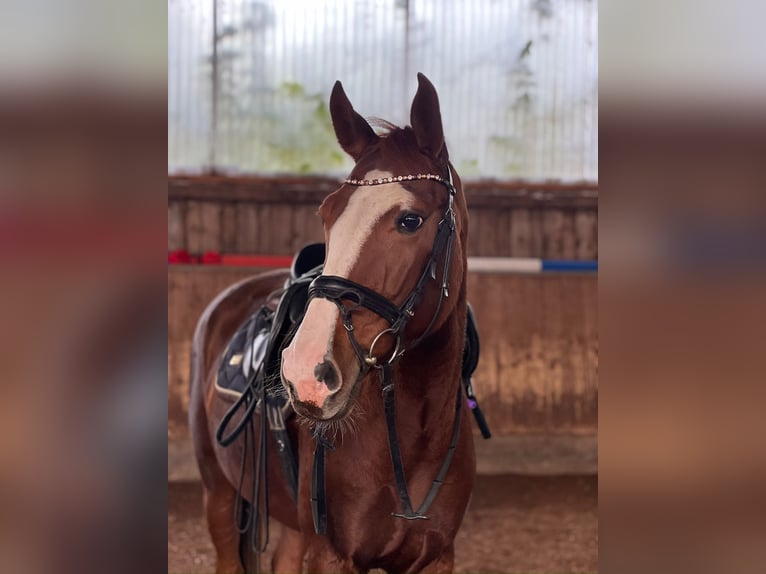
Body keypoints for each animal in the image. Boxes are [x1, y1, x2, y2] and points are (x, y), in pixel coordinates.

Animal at [190, 74, 476, 572]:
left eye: (410, 220)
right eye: (327, 213)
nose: (306, 372)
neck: (414, 436)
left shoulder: (437, 556)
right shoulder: (332, 555)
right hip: (219, 495)